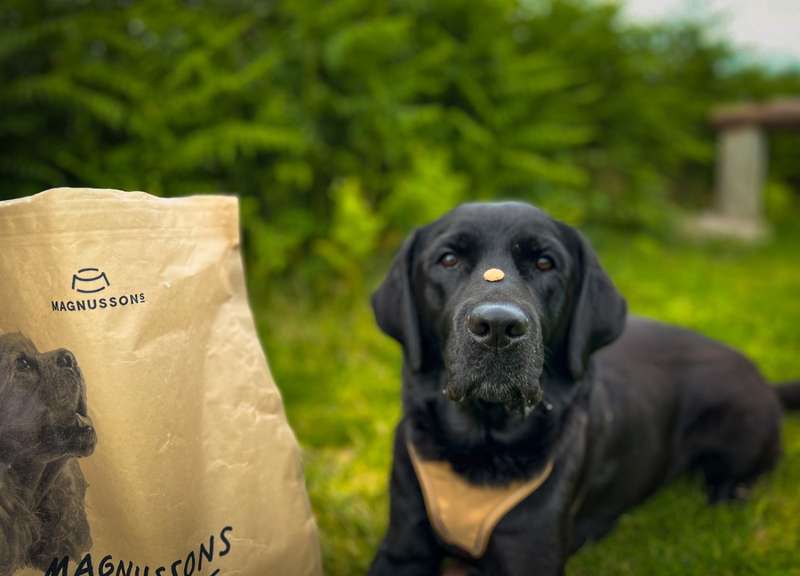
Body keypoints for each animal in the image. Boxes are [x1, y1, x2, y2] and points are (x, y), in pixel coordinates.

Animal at [370, 202, 800, 576]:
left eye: (545, 263)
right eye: (448, 259)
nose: (497, 327)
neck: (482, 445)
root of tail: (763, 378)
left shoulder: (530, 554)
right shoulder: (401, 548)